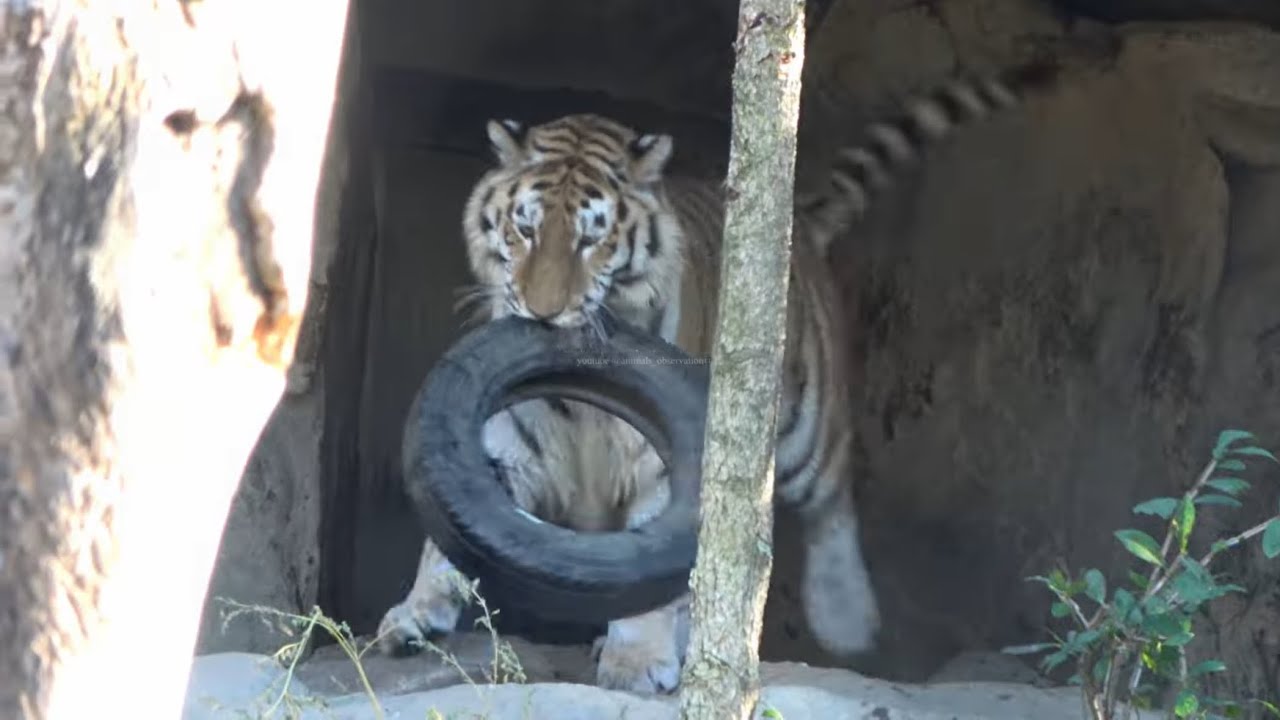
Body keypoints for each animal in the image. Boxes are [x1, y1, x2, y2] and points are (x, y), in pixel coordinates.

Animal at [379, 60, 1060, 694]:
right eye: (525, 228)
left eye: (590, 241)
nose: (543, 314)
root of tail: (797, 222)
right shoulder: (504, 447)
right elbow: (446, 541)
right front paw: (412, 618)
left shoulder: (668, 468)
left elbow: (656, 576)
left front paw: (635, 663)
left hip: (804, 425)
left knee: (831, 496)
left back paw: (844, 617)